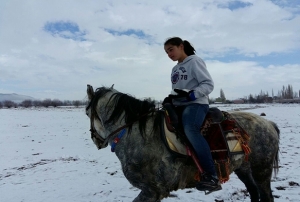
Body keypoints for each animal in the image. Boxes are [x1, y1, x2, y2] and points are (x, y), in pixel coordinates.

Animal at [85, 84, 280, 201]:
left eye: (87, 112)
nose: (96, 140)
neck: (138, 135)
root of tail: (268, 123)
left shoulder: (152, 191)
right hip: (244, 168)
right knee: (254, 192)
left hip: (262, 170)